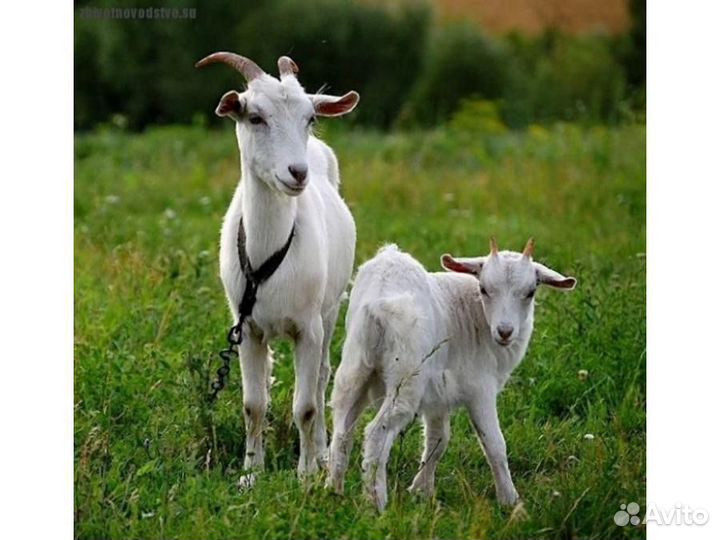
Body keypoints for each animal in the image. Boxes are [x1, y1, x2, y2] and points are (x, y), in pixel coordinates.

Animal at [196, 52, 359, 481]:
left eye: (310, 118)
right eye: (255, 117)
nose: (297, 173)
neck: (269, 253)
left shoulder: (308, 328)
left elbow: (306, 406)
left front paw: (305, 474)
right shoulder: (247, 329)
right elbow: (253, 405)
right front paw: (251, 473)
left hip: (330, 312)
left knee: (321, 380)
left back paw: (322, 453)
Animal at [327, 238, 576, 511]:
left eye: (530, 292)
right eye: (484, 289)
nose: (505, 331)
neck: (476, 317)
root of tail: (378, 303)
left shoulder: (438, 394)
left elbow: (438, 439)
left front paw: (421, 491)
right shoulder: (480, 388)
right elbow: (494, 444)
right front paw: (511, 502)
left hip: (355, 367)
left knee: (342, 429)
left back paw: (332, 490)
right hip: (407, 375)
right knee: (376, 432)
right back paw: (376, 503)